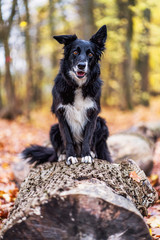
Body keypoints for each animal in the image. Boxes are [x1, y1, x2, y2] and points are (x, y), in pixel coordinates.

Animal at [21, 25, 112, 166]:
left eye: (90, 54)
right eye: (75, 52)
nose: (81, 65)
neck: (78, 86)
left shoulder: (93, 113)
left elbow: (88, 137)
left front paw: (87, 155)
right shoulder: (61, 113)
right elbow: (67, 138)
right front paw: (69, 156)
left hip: (102, 124)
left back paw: (92, 152)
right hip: (53, 129)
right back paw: (63, 155)